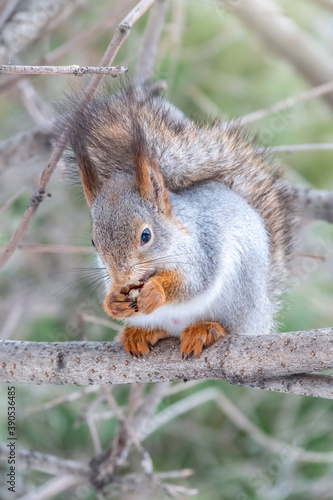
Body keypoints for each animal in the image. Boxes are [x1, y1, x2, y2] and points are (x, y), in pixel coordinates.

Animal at [65, 83, 296, 360]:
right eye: (93, 241)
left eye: (146, 235)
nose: (122, 279)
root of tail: (263, 315)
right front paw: (113, 301)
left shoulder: (203, 249)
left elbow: (193, 283)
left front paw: (156, 291)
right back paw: (140, 333)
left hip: (238, 297)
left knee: (227, 326)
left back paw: (205, 330)